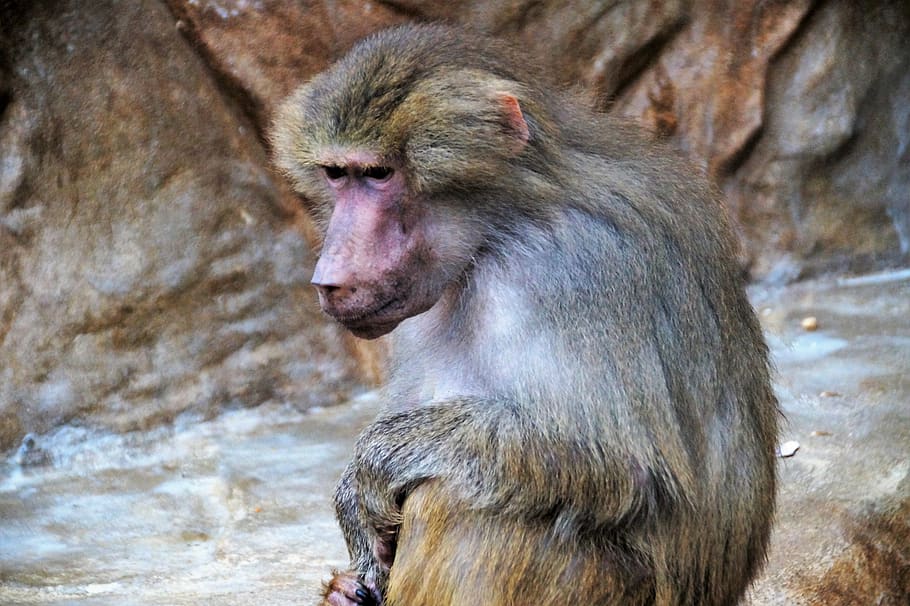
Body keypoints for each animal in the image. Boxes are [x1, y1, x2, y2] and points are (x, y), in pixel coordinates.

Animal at [272, 24, 778, 606]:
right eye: (337, 174)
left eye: (378, 174)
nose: (328, 279)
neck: (500, 229)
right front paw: (353, 555)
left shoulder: (574, 267)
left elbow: (625, 467)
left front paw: (370, 468)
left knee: (456, 501)